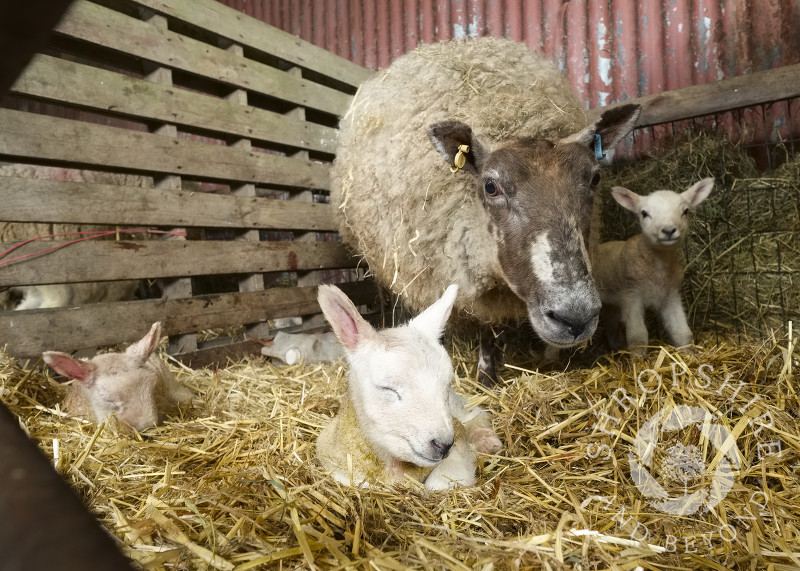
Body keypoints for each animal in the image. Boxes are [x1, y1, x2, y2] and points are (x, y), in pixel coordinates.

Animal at [318, 284, 500, 490]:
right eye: (387, 388)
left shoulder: (459, 444)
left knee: (476, 413)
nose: (443, 445)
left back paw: (488, 442)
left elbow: (441, 482)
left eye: (446, 385)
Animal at [328, 36, 640, 384]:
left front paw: (490, 372)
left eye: (594, 178)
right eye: (490, 186)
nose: (575, 317)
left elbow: (494, 331)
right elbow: (479, 326)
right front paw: (485, 376)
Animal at [592, 179, 712, 358]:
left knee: (611, 326)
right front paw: (637, 361)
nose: (668, 230)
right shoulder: (631, 297)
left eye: (685, 211)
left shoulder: (671, 296)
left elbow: (682, 333)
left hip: (609, 304)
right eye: (644, 213)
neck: (658, 269)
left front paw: (689, 356)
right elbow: (638, 337)